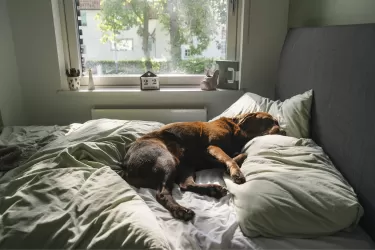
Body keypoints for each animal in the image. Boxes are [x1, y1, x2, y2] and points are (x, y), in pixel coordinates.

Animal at [123, 112, 284, 220]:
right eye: (269, 121)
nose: (282, 130)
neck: (236, 129)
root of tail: (125, 166)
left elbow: (237, 155)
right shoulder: (212, 147)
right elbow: (231, 158)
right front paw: (236, 172)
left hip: (185, 166)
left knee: (185, 185)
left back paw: (213, 189)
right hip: (166, 159)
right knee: (163, 193)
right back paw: (181, 210)